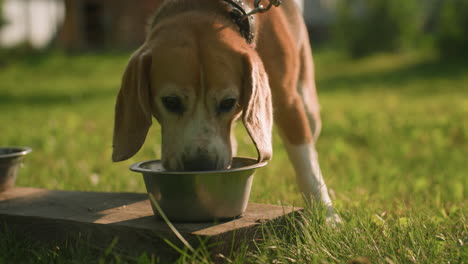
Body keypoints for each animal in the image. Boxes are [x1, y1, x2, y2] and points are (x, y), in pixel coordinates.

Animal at [113, 0, 340, 223]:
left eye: (228, 102)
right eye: (170, 101)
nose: (201, 165)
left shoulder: (288, 102)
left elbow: (306, 162)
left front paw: (327, 214)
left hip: (309, 109)